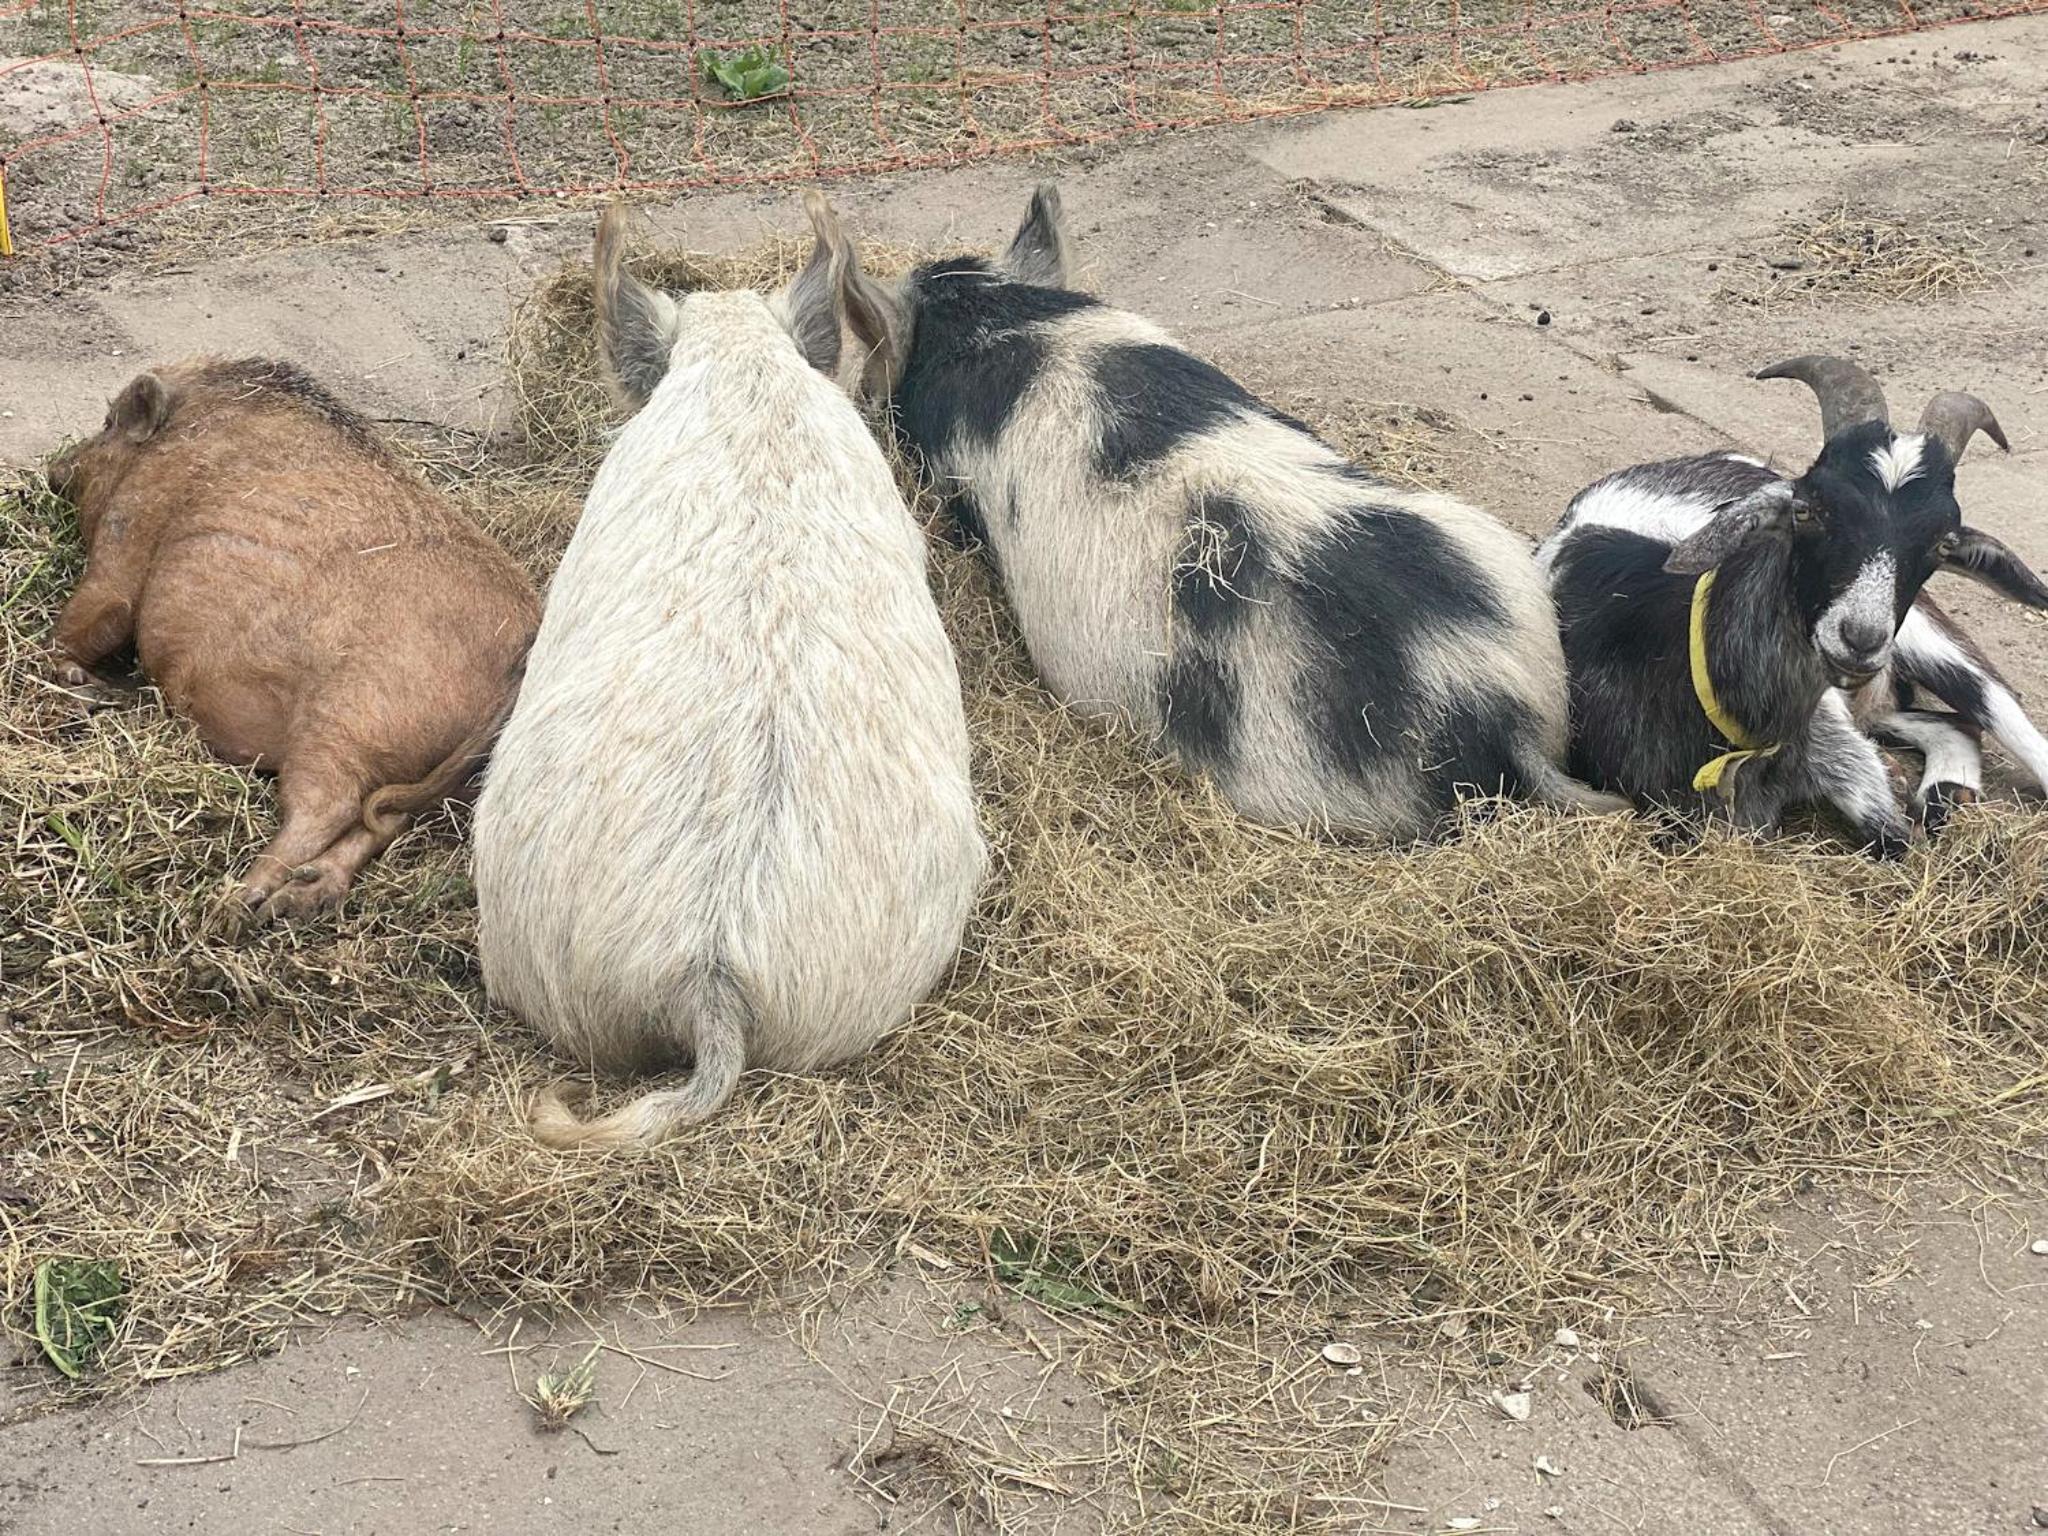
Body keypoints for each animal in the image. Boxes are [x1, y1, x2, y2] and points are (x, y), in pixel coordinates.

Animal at [44, 357, 539, 921]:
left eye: (109, 424)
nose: (54, 469)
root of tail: (523, 648)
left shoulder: (133, 522)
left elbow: (97, 611)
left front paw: (80, 684)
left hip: (347, 717)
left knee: (329, 807)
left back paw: (236, 906)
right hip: (430, 771)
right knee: (386, 821)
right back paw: (300, 895)